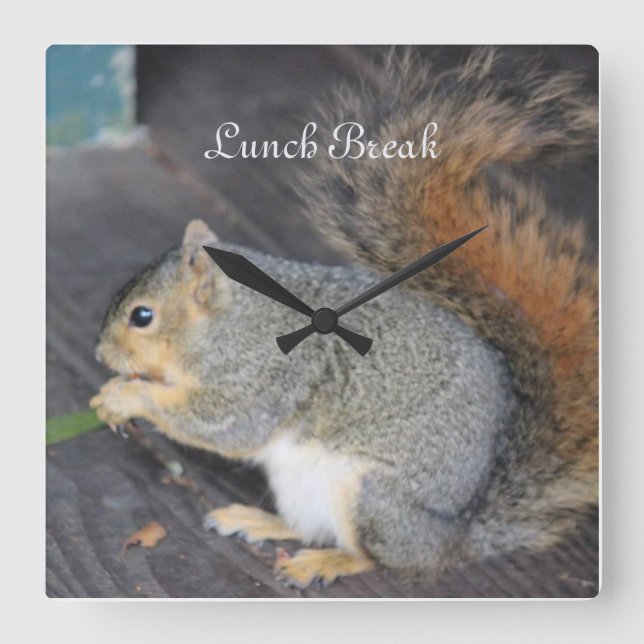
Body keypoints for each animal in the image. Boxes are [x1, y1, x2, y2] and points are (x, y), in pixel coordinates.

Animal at [90, 48, 598, 589]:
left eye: (142, 316)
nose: (100, 354)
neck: (230, 322)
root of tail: (454, 538)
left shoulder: (260, 379)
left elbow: (224, 425)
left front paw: (127, 396)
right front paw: (114, 393)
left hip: (371, 497)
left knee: (378, 557)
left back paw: (326, 562)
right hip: (301, 486)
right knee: (304, 526)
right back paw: (259, 521)